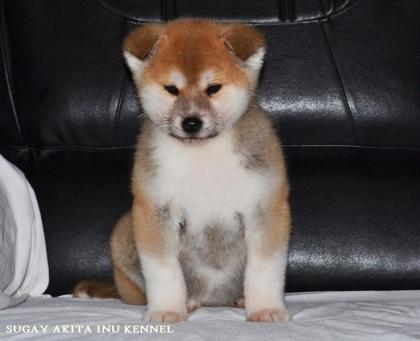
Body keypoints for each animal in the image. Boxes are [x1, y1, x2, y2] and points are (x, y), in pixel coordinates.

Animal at [74, 17, 290, 322]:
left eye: (213, 88)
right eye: (172, 89)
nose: (191, 122)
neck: (202, 155)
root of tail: (213, 300)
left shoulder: (266, 209)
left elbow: (264, 270)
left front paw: (266, 310)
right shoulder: (155, 213)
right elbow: (164, 272)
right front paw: (167, 310)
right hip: (124, 233)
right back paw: (187, 302)